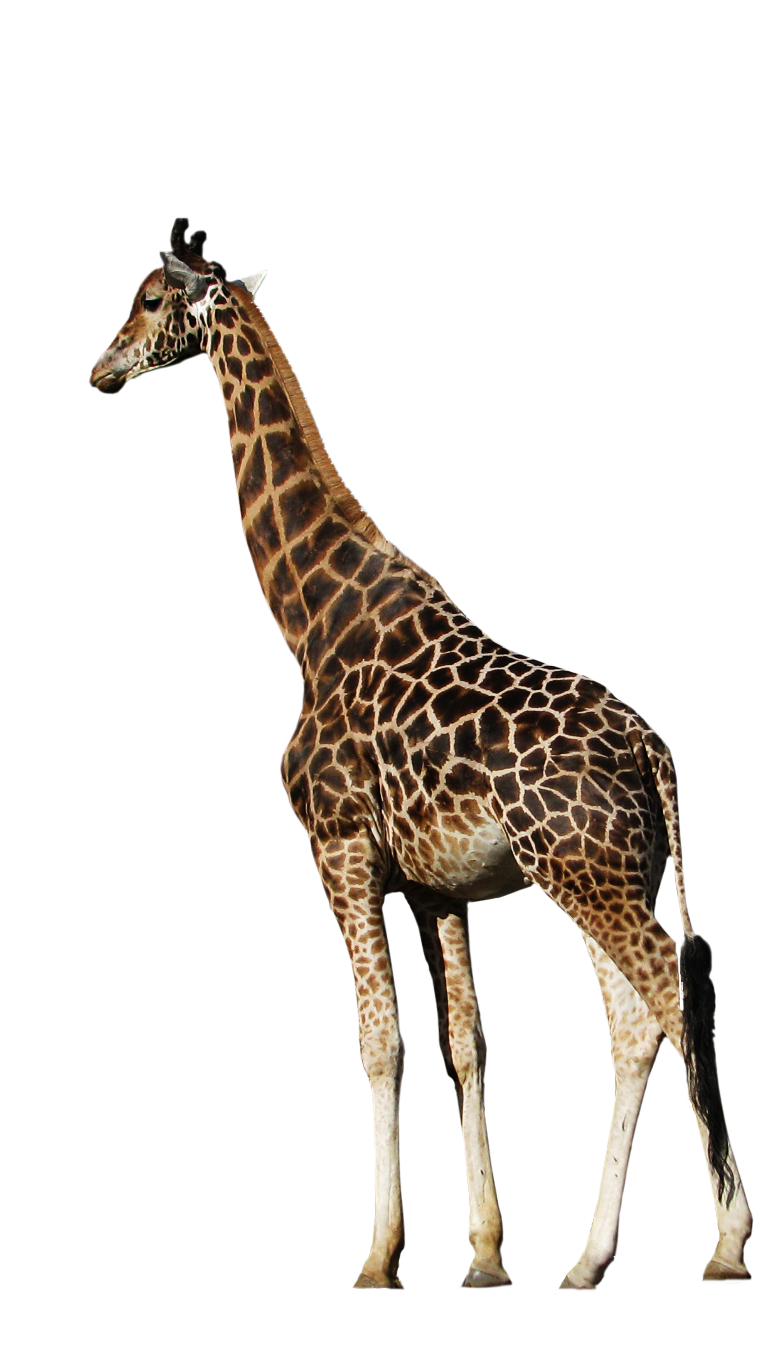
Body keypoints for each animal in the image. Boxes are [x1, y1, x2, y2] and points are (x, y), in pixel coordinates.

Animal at [90, 219, 752, 1293]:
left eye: (150, 300)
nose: (101, 371)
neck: (316, 617)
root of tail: (643, 744)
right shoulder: (437, 884)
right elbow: (462, 1045)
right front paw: (485, 1253)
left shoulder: (340, 842)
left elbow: (378, 1040)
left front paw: (379, 1255)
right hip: (610, 869)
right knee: (635, 1017)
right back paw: (588, 1260)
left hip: (580, 867)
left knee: (672, 993)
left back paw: (728, 1241)